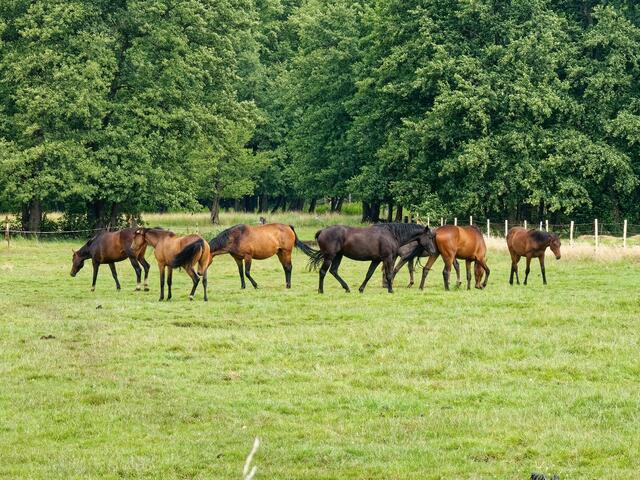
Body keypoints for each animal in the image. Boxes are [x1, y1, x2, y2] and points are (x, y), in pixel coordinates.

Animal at [305, 223, 436, 294]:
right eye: (430, 237)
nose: (433, 251)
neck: (392, 234)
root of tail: (322, 231)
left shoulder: (376, 260)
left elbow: (369, 274)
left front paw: (361, 289)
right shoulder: (388, 258)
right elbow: (389, 274)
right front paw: (390, 290)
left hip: (338, 256)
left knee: (333, 271)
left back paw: (346, 288)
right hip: (330, 256)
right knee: (323, 272)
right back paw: (321, 290)